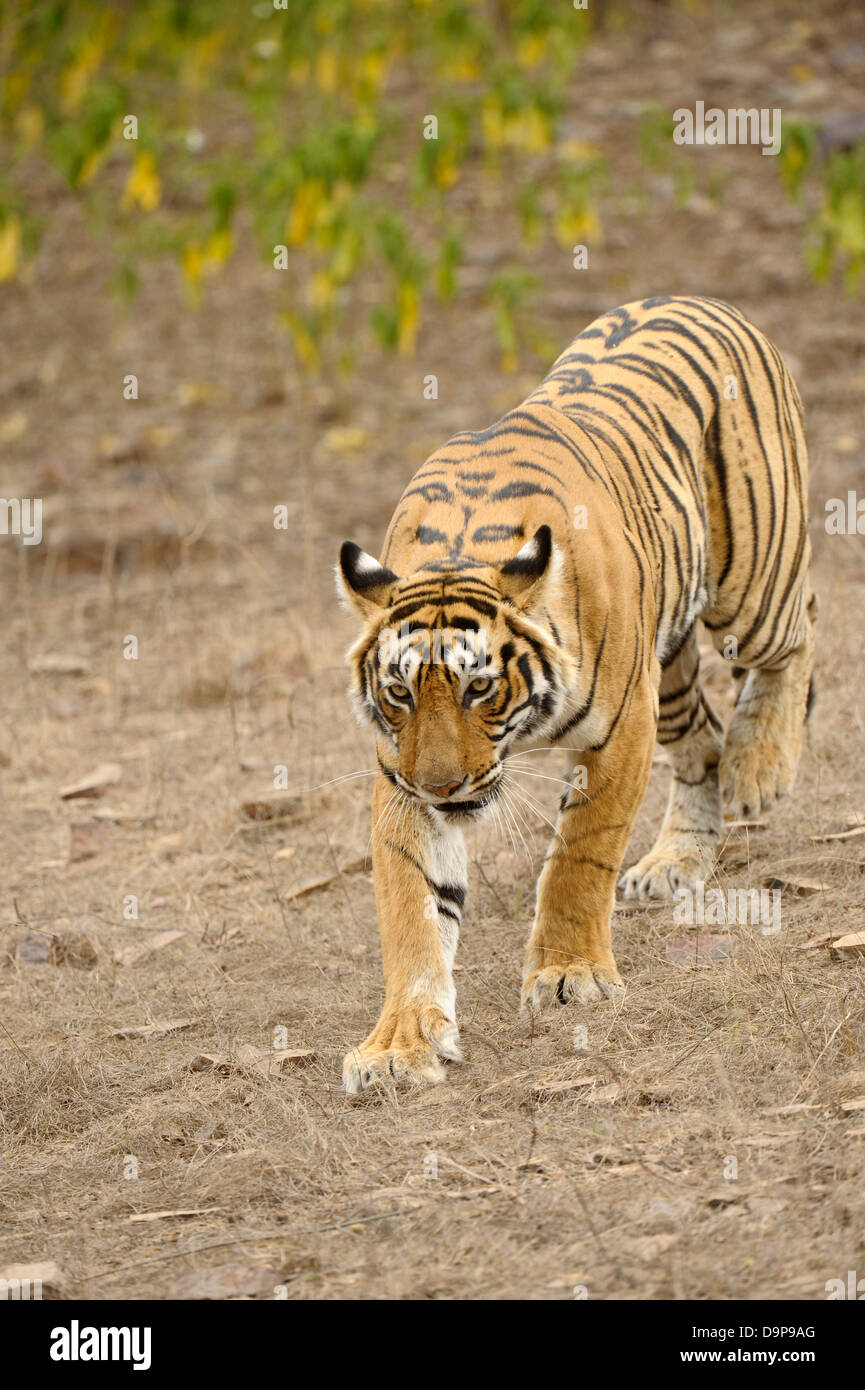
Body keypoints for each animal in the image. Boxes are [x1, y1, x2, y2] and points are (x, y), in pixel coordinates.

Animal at [335, 296, 817, 1095]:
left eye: (479, 688)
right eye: (400, 693)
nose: (442, 786)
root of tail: (701, 300)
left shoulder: (619, 731)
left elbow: (578, 857)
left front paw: (569, 976)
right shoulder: (396, 773)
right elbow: (411, 907)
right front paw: (398, 1044)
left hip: (751, 587)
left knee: (799, 631)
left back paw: (761, 766)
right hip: (670, 666)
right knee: (702, 745)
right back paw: (674, 861)